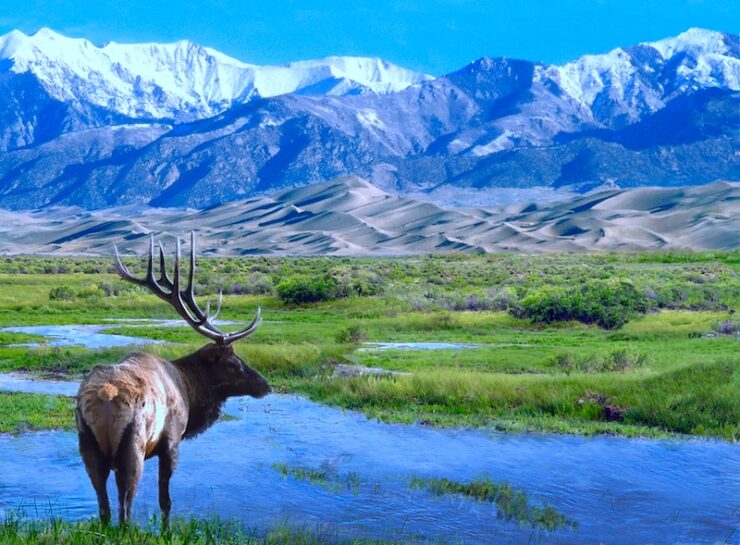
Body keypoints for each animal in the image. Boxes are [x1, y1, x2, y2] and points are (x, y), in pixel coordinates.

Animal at [74, 232, 268, 524]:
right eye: (233, 363)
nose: (265, 385)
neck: (189, 388)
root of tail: (104, 398)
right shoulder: (172, 442)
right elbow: (165, 500)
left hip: (87, 442)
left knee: (104, 506)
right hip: (133, 446)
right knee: (125, 508)